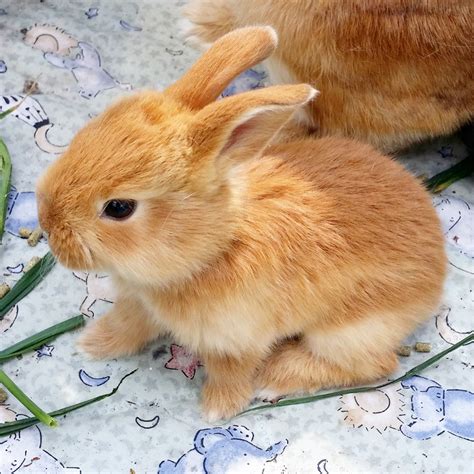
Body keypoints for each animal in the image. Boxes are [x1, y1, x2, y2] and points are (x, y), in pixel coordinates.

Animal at [36, 27, 444, 420]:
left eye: (119, 207)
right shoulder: (140, 305)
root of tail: (437, 268)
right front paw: (91, 345)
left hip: (351, 330)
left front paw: (217, 410)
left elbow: (230, 373)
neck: (211, 251)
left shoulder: (238, 339)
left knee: (375, 364)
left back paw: (276, 378)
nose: (48, 226)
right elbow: (126, 327)